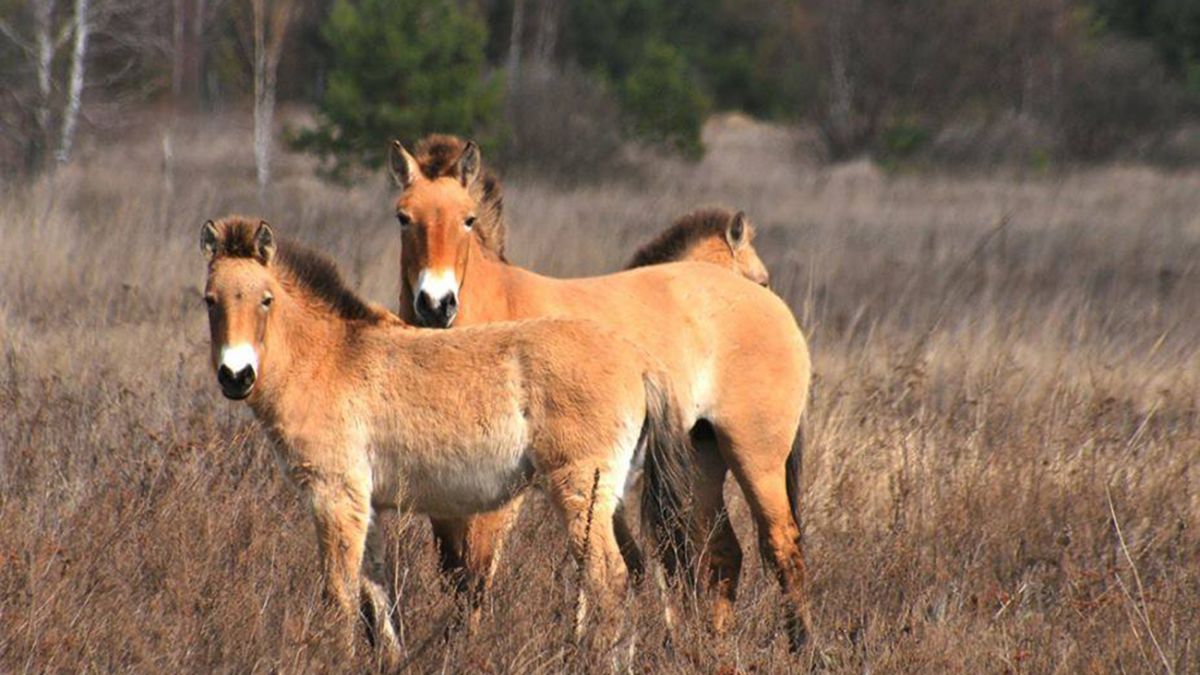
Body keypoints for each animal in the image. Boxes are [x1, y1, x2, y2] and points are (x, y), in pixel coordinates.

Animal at [200, 216, 696, 662]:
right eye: (210, 301)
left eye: (266, 300)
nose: (235, 376)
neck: (328, 358)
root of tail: (639, 359)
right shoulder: (367, 505)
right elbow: (376, 594)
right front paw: (392, 662)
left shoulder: (334, 497)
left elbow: (340, 594)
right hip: (612, 497)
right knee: (635, 572)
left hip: (580, 493)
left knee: (609, 577)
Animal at [386, 135, 816, 648]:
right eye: (403, 217)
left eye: (467, 219)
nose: (435, 304)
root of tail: (776, 313)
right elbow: (457, 573)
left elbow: (476, 573)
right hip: (702, 457)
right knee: (723, 555)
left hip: (755, 457)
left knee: (782, 548)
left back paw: (802, 650)